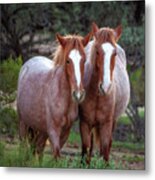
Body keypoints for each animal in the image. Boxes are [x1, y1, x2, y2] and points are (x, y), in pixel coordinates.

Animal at [17, 31, 91, 161]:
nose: (78, 94)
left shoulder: (65, 132)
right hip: (23, 123)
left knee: (38, 149)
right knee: (23, 146)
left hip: (40, 130)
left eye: (84, 60)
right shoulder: (53, 131)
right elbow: (56, 154)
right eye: (68, 60)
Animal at [79, 22, 130, 163]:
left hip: (113, 122)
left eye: (115, 54)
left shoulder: (106, 124)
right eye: (97, 51)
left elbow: (105, 148)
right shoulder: (85, 123)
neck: (97, 96)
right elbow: (86, 148)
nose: (105, 86)